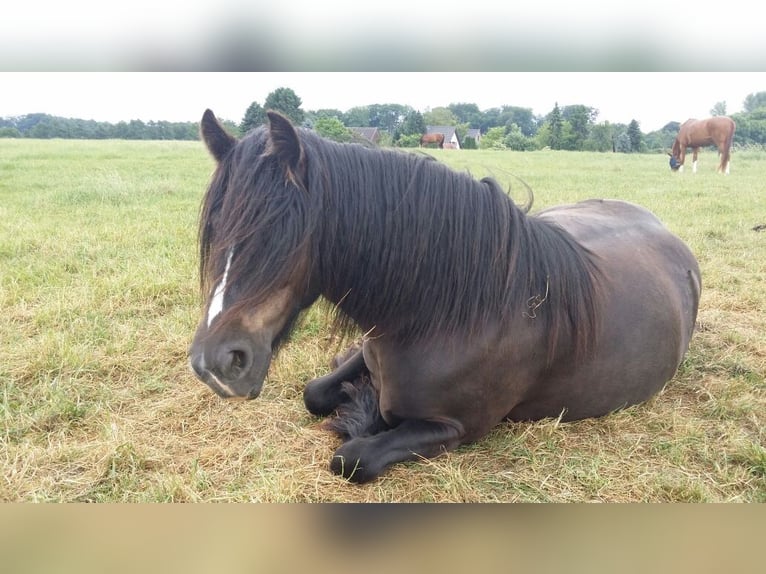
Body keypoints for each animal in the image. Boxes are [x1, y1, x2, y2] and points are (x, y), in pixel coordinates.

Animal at [188, 109, 704, 486]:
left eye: (282, 233)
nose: (215, 364)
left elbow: (352, 458)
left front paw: (360, 419)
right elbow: (315, 393)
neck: (449, 313)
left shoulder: (453, 428)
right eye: (215, 229)